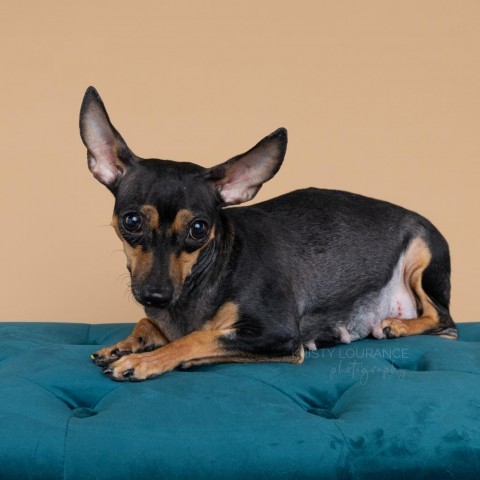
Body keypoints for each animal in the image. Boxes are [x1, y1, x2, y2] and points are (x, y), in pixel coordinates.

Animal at [79, 86, 458, 382]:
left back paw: (399, 325)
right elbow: (147, 322)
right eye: (131, 222)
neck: (204, 278)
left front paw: (143, 360)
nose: (156, 295)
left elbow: (196, 338)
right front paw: (123, 345)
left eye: (199, 229)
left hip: (421, 255)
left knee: (444, 319)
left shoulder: (278, 334)